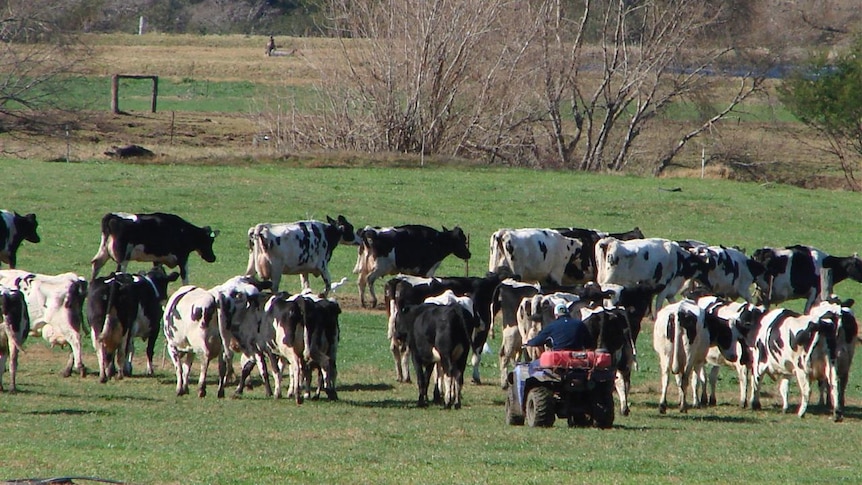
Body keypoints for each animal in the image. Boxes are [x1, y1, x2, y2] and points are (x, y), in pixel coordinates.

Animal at [90, 211, 219, 284]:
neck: (182, 230)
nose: (213, 258)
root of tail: (111, 216)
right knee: (118, 272)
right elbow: (185, 277)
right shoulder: (183, 257)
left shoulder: (158, 259)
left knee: (96, 264)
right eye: (210, 241)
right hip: (123, 258)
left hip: (104, 252)